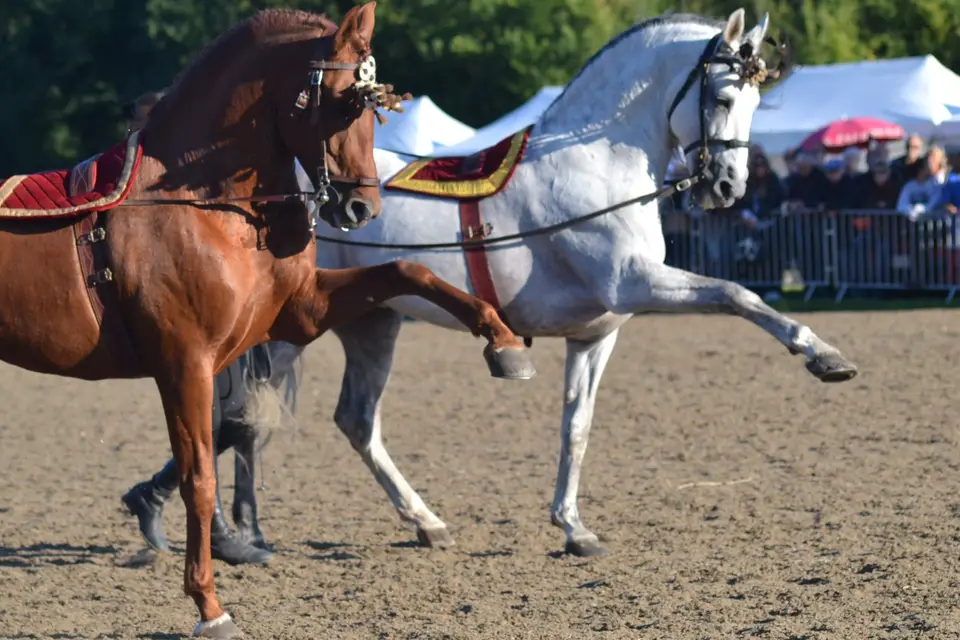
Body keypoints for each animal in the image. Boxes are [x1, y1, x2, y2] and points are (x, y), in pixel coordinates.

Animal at [0, 4, 535, 638]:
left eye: (374, 107)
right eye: (339, 101)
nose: (362, 208)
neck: (204, 208)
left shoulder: (300, 312)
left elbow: (408, 269)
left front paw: (503, 341)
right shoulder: (185, 365)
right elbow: (199, 479)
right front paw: (210, 606)